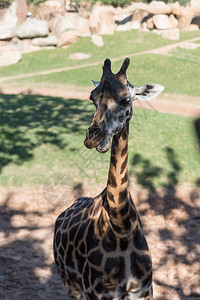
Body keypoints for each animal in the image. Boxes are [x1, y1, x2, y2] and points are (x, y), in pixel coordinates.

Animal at [53, 57, 164, 298]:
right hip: (70, 283)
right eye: (92, 98)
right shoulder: (99, 294)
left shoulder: (143, 292)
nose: (92, 138)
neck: (122, 227)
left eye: (125, 99)